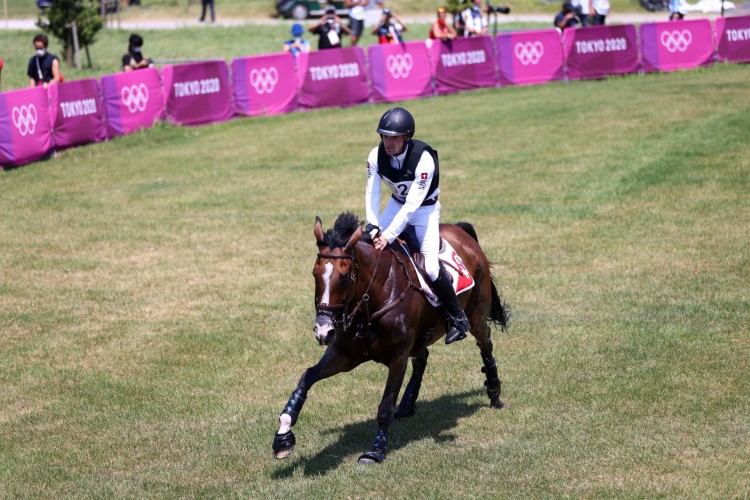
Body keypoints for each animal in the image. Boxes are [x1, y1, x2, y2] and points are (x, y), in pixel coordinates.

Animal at [272, 212, 512, 464]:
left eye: (345, 276)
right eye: (314, 274)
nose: (323, 330)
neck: (373, 298)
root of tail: (462, 232)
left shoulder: (398, 356)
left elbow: (386, 405)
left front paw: (376, 450)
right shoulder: (345, 354)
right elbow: (307, 377)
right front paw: (283, 436)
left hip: (476, 315)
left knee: (486, 344)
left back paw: (494, 393)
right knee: (423, 358)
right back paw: (407, 405)